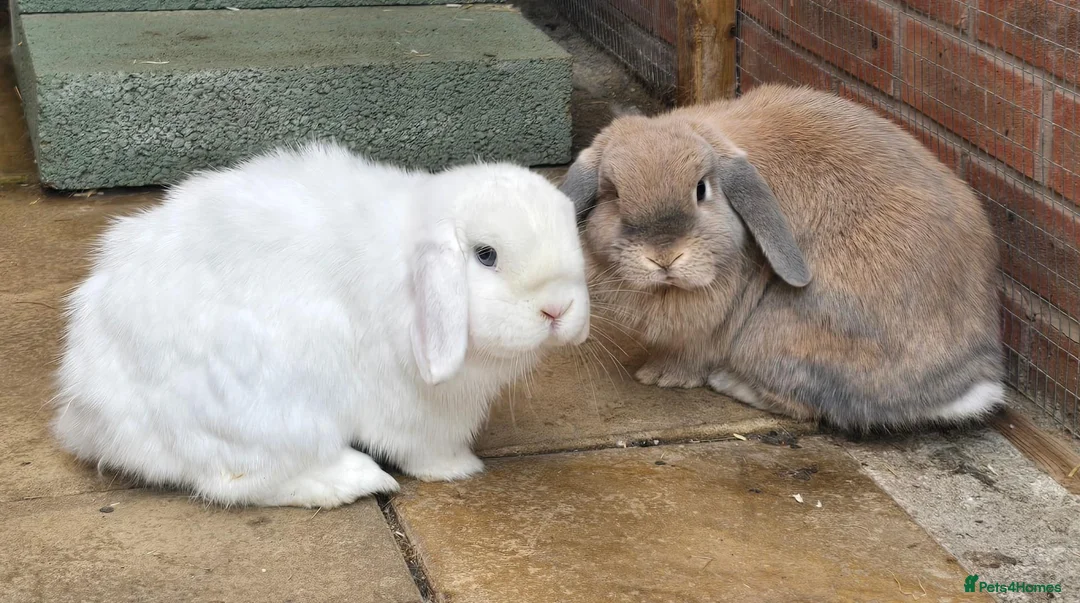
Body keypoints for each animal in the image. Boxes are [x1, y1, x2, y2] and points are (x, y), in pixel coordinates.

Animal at [53, 142, 590, 508]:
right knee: (237, 481)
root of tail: (91, 417)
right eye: (485, 255)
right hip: (273, 403)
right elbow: (424, 445)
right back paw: (354, 480)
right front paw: (458, 469)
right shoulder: (413, 406)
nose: (558, 309)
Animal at [561, 84, 1003, 431]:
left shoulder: (712, 328)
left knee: (803, 405)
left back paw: (729, 382)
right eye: (613, 195)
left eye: (702, 189)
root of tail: (959, 385)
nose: (665, 258)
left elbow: (694, 355)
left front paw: (662, 377)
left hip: (771, 336)